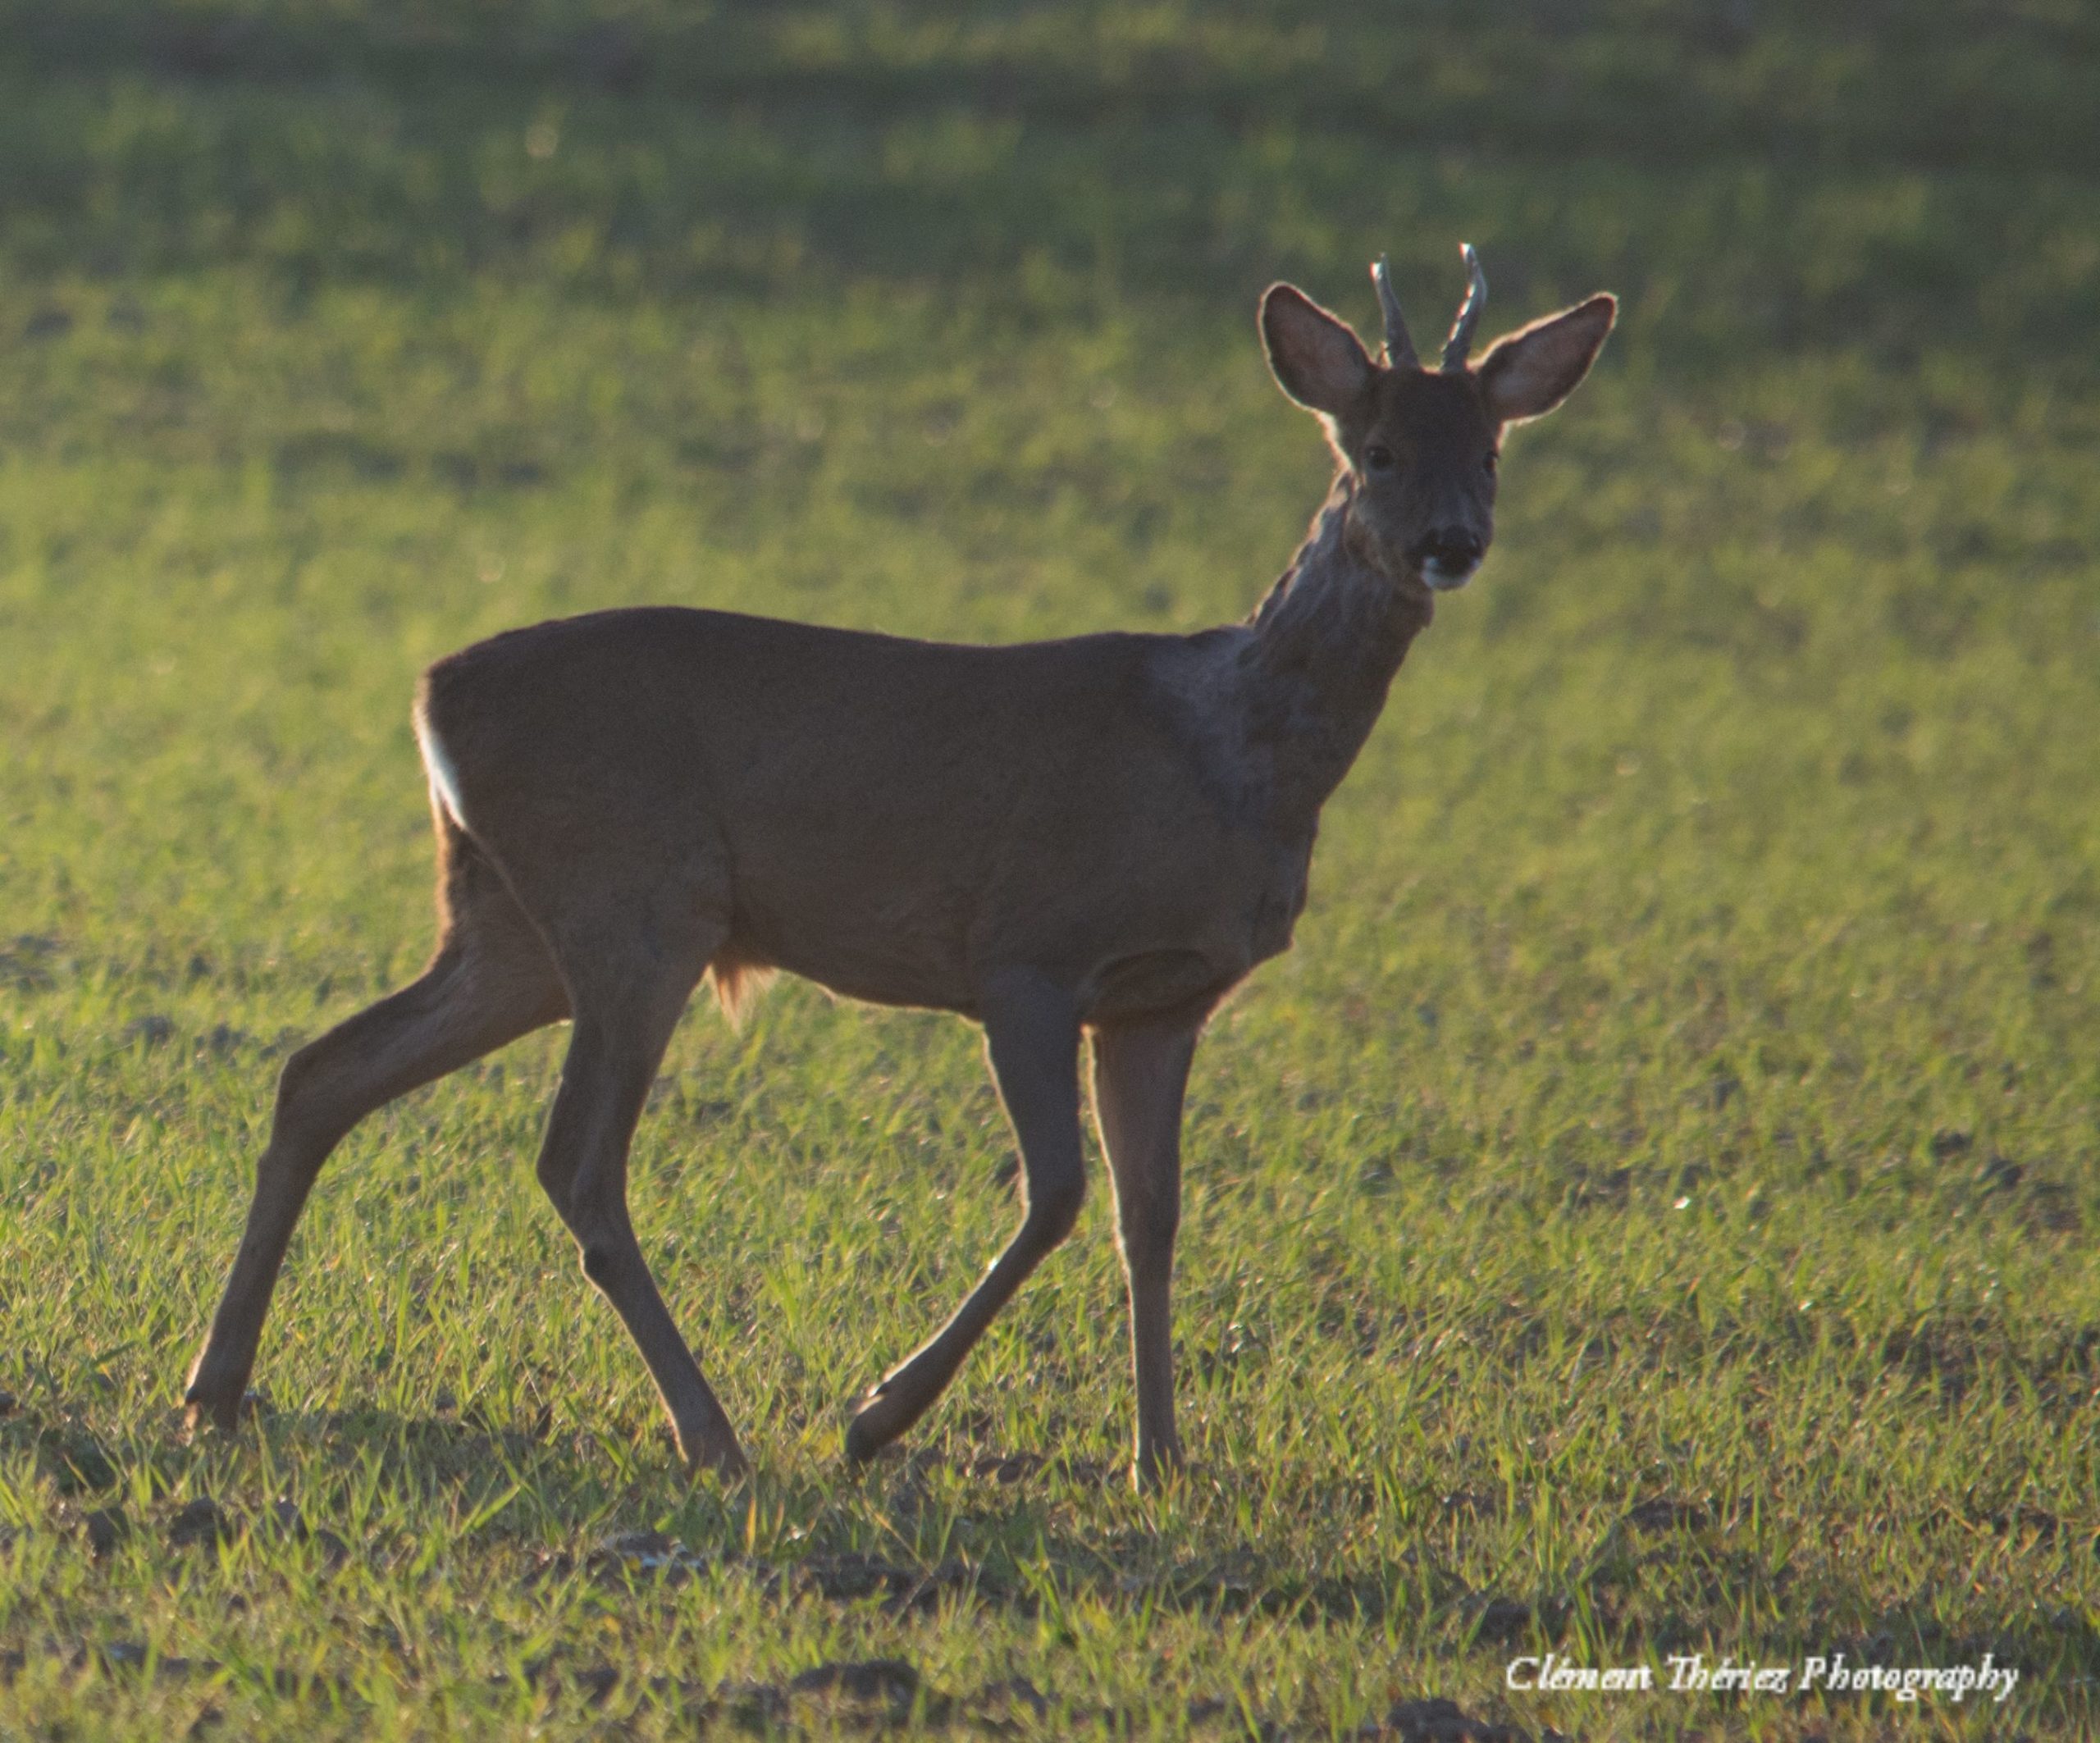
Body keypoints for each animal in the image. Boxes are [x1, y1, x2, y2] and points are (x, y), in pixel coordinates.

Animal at [183, 247, 1614, 1488]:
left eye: (1490, 451)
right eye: (1375, 450)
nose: (1449, 541)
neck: (1229, 749)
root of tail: (433, 693)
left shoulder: (1164, 1000)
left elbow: (1150, 1217)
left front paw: (1160, 1458)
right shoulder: (1025, 953)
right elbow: (1057, 1195)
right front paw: (875, 1416)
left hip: (513, 927)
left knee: (325, 1069)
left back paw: (217, 1388)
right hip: (636, 901)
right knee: (575, 1159)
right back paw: (714, 1433)